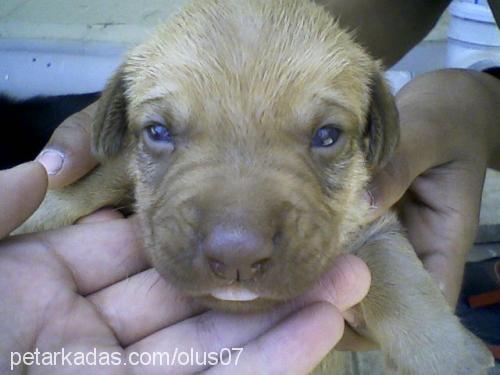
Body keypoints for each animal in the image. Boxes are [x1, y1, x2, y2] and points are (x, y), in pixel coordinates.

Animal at [15, 0, 492, 375]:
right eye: (157, 131)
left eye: (327, 136)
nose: (236, 255)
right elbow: (93, 179)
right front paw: (35, 209)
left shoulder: (370, 220)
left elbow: (401, 279)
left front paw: (452, 356)